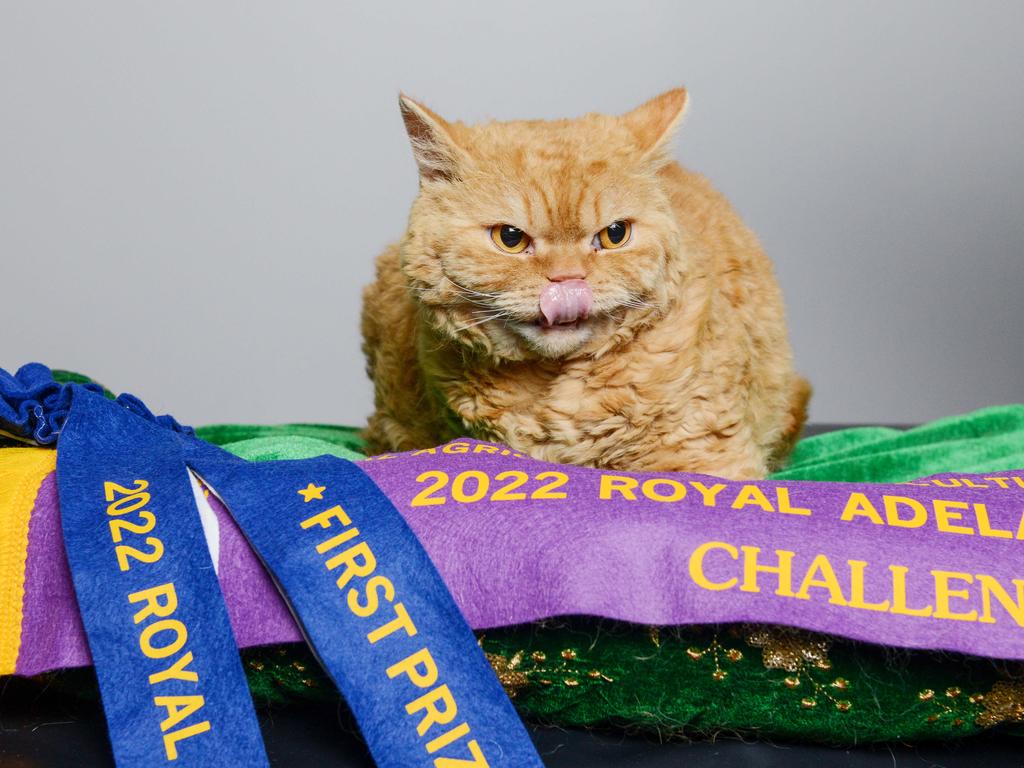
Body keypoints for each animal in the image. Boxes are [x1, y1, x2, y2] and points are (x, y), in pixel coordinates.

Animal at [360, 87, 806, 479]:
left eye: (614, 235)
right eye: (510, 238)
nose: (568, 279)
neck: (550, 391)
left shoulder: (710, 459)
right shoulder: (406, 436)